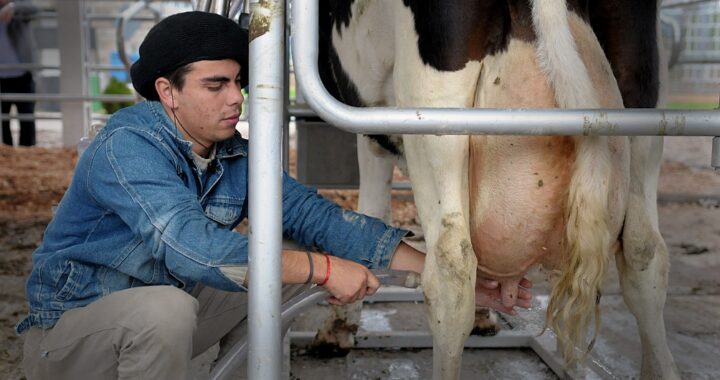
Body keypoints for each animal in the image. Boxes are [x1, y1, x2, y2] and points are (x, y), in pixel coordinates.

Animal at [312, 1, 676, 378]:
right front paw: (485, 315)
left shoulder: (371, 131)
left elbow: (370, 210)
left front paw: (338, 328)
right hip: (644, 102)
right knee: (644, 252)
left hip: (434, 112)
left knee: (452, 268)